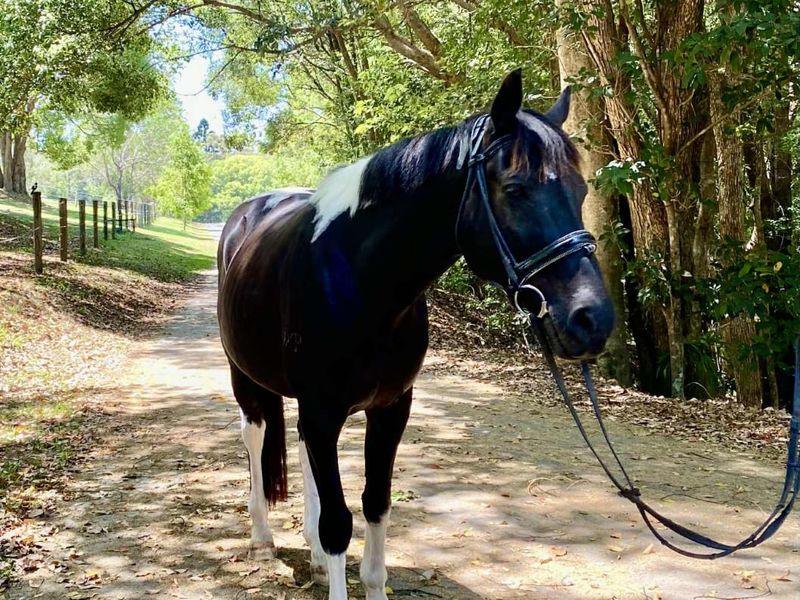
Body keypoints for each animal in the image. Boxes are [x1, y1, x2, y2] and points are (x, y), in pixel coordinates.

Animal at [217, 69, 615, 600]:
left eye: (582, 191)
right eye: (515, 189)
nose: (593, 318)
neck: (359, 282)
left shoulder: (390, 409)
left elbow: (375, 504)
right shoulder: (323, 410)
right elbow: (339, 523)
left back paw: (315, 556)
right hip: (243, 375)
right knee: (255, 435)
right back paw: (262, 537)